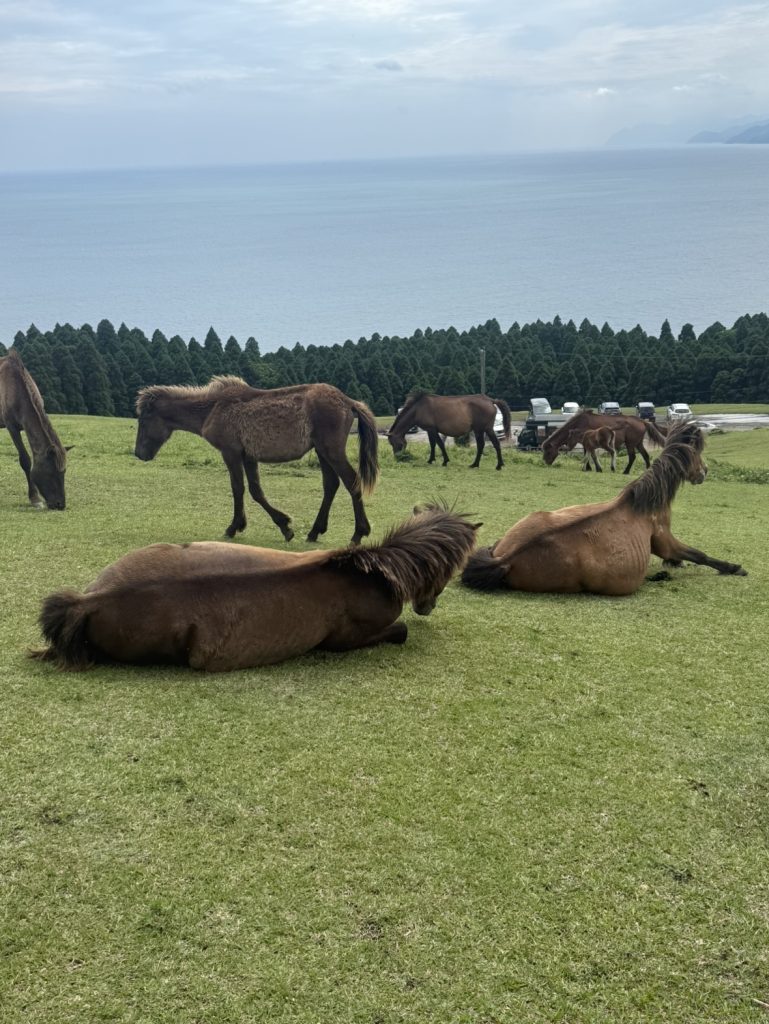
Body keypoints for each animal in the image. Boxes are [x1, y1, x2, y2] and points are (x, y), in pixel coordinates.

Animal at [0, 349, 69, 509]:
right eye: (51, 472)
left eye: (64, 472)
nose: (60, 505)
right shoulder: (12, 427)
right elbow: (25, 460)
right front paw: (35, 498)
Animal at [31, 504, 480, 672]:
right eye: (452, 570)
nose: (426, 607)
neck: (370, 572)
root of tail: (90, 600)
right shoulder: (348, 640)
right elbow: (399, 632)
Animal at [135, 378, 379, 544]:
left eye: (144, 419)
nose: (138, 453)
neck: (214, 407)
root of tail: (348, 401)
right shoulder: (248, 457)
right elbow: (256, 491)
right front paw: (284, 526)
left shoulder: (231, 453)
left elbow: (238, 488)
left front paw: (233, 528)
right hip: (322, 452)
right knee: (331, 485)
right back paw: (314, 532)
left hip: (332, 451)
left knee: (351, 481)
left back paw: (359, 533)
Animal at [461, 422, 746, 597]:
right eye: (696, 454)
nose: (704, 472)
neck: (644, 502)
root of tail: (504, 560)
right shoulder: (665, 541)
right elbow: (698, 554)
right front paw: (733, 568)